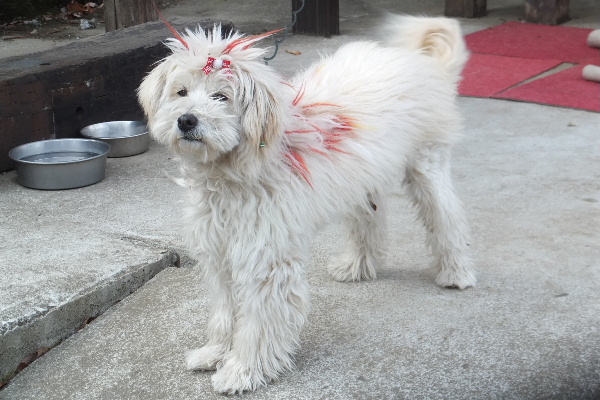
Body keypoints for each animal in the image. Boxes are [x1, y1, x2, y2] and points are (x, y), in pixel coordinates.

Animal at [138, 14, 476, 394]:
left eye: (221, 96)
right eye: (180, 92)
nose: (186, 120)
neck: (233, 171)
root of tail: (420, 61)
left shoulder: (266, 259)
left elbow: (258, 321)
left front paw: (243, 370)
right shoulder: (220, 251)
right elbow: (226, 310)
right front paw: (216, 352)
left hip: (427, 165)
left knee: (446, 217)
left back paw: (455, 272)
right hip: (361, 182)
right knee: (370, 221)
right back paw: (357, 266)